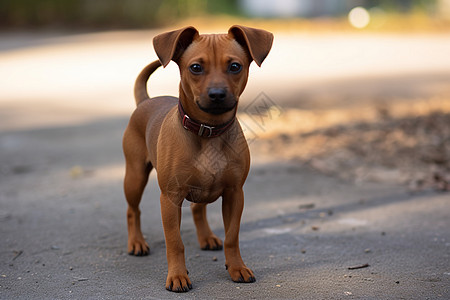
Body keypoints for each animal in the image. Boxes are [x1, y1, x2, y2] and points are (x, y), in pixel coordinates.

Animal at [121, 24, 272, 292]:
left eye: (235, 66)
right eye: (195, 68)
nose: (217, 94)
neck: (208, 131)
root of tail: (146, 101)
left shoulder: (235, 194)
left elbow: (232, 237)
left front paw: (237, 268)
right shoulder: (170, 199)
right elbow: (175, 242)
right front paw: (177, 276)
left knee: (197, 209)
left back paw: (207, 238)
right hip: (135, 177)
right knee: (133, 210)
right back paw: (136, 242)